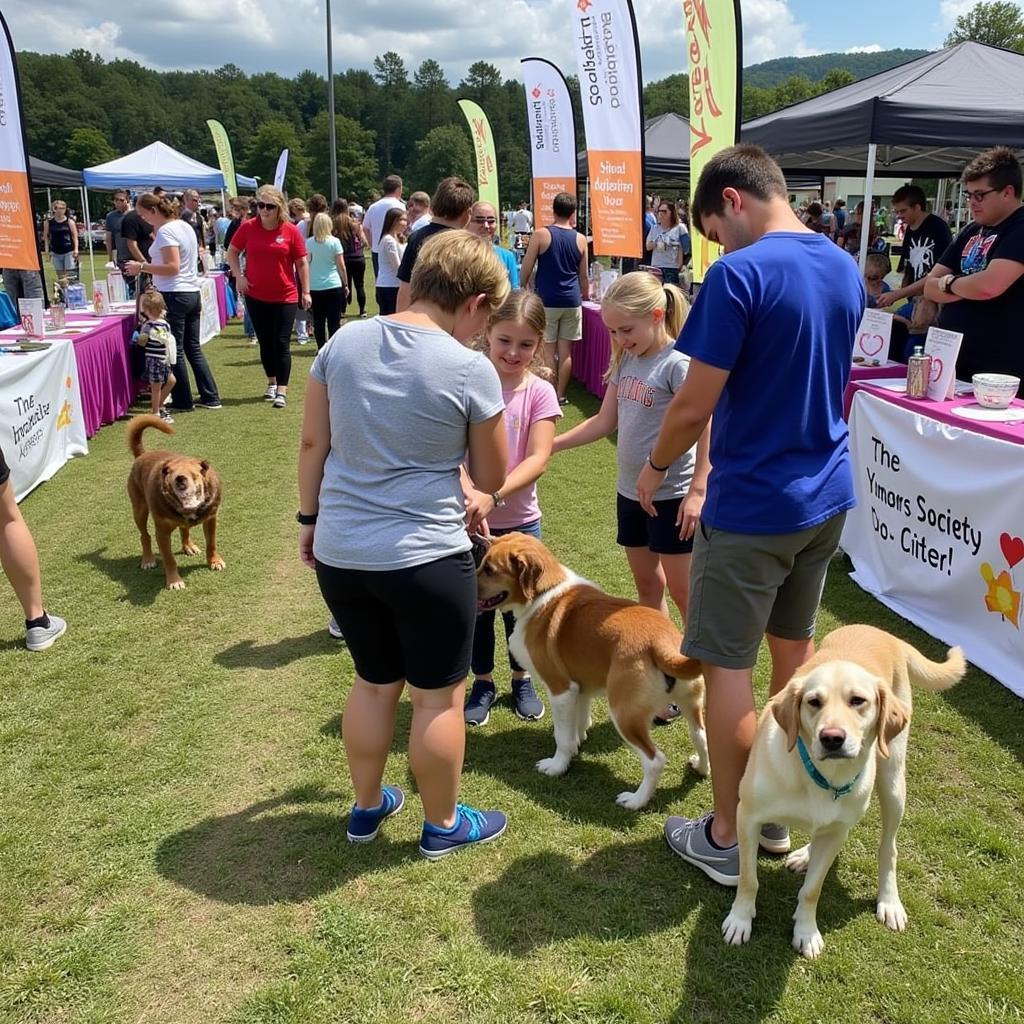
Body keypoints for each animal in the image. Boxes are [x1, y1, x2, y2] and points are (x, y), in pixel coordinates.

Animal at [125, 415, 224, 593]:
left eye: (195, 473)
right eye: (167, 471)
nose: (179, 479)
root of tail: (142, 454)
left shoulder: (211, 519)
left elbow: (211, 543)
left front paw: (215, 561)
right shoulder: (162, 532)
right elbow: (169, 558)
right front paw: (174, 581)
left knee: (184, 529)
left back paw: (189, 546)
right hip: (139, 510)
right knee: (144, 535)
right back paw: (148, 560)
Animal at [475, 536, 708, 806]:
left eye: (489, 569)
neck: (543, 593)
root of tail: (661, 642)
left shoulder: (561, 690)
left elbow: (561, 736)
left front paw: (557, 766)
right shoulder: (579, 686)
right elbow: (580, 719)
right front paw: (579, 741)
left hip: (624, 714)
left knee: (655, 760)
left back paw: (635, 800)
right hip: (691, 702)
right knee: (701, 736)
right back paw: (701, 768)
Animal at [720, 622, 966, 958]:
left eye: (858, 701)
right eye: (813, 702)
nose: (832, 738)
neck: (822, 778)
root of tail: (881, 632)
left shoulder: (837, 832)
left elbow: (813, 890)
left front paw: (806, 932)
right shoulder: (747, 816)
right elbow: (748, 878)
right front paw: (740, 920)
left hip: (893, 783)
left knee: (889, 848)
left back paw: (889, 901)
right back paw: (805, 856)